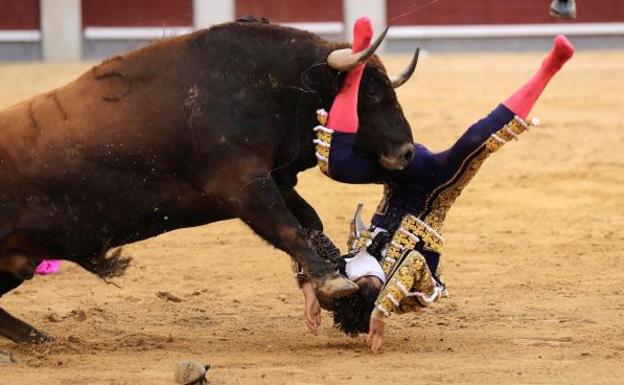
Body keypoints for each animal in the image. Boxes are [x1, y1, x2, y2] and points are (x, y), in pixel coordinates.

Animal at [1, 18, 420, 342]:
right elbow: (288, 228)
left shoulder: (274, 181)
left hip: (21, 258)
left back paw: (35, 339)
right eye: (369, 93)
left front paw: (329, 290)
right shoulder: (242, 184)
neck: (263, 86)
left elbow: (309, 222)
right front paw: (333, 284)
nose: (407, 153)